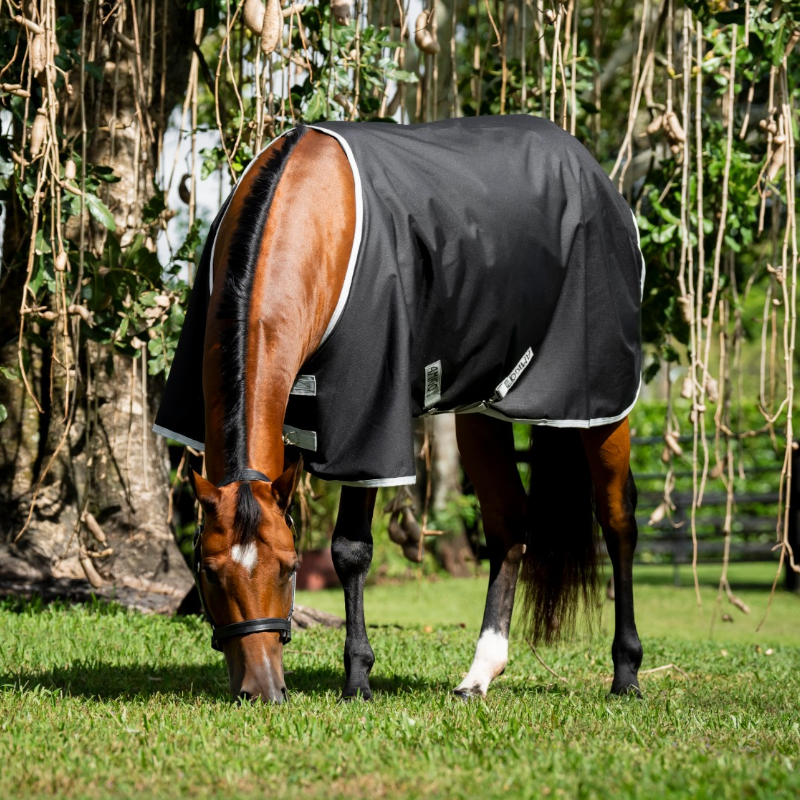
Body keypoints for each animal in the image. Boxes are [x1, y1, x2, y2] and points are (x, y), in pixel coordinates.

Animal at [155, 116, 644, 704]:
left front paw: (357, 679)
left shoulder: (367, 419)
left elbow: (351, 549)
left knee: (617, 519)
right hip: (480, 409)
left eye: (290, 568)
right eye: (208, 571)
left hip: (601, 402)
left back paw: (626, 672)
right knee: (508, 523)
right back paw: (480, 674)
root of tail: (590, 169)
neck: (312, 213)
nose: (263, 690)